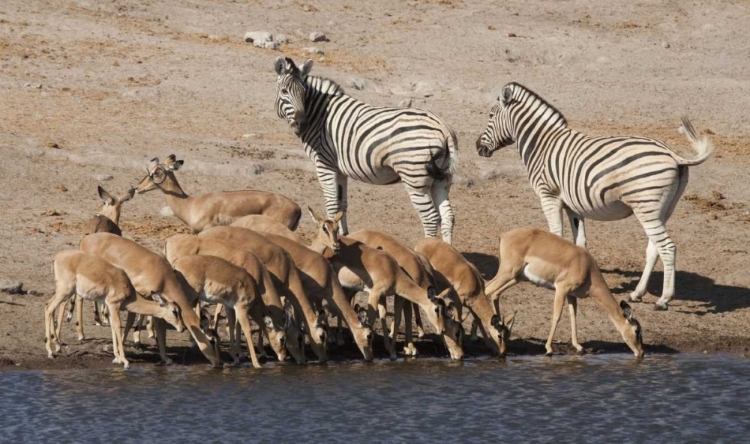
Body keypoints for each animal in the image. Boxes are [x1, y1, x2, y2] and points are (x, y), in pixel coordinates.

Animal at [272, 57, 458, 245]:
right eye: (285, 91)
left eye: (303, 94)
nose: (302, 124)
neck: (320, 116)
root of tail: (444, 129)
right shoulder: (339, 169)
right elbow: (342, 205)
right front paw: (343, 236)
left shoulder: (324, 163)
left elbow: (331, 205)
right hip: (441, 178)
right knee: (447, 216)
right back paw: (445, 249)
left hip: (414, 177)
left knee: (431, 218)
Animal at [478, 81, 712, 310]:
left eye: (490, 115)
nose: (477, 146)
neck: (542, 145)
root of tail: (674, 155)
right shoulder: (572, 205)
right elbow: (580, 241)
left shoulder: (548, 195)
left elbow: (556, 233)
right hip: (663, 210)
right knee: (654, 249)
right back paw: (637, 293)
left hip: (647, 206)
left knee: (667, 247)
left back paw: (664, 299)